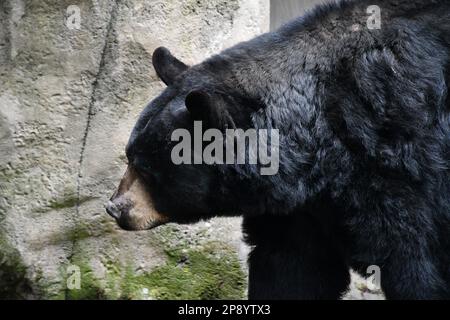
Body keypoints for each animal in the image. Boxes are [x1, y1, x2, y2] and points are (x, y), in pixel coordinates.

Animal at [104, 0, 450, 300]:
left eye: (147, 168)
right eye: (129, 154)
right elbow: (290, 266)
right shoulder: (301, 208)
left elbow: (417, 267)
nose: (115, 207)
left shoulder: (405, 164)